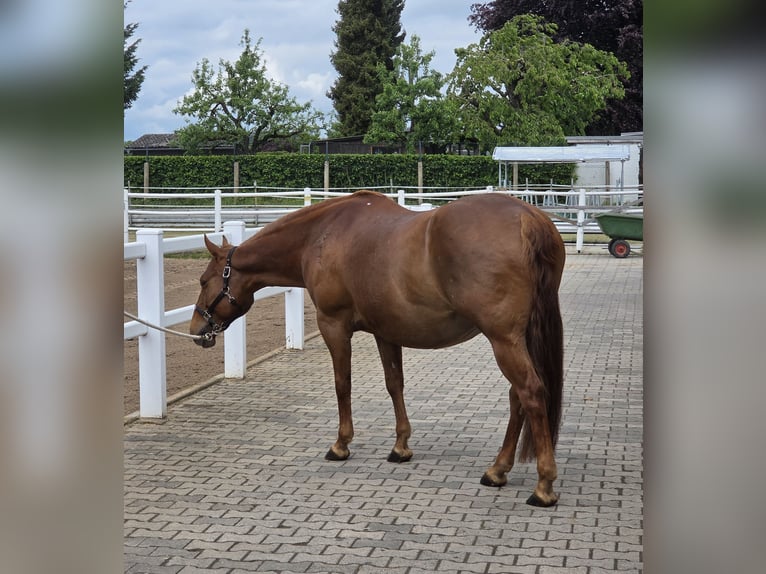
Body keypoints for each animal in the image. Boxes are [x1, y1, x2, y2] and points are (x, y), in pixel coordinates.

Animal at [190, 190, 565, 507]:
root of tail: (528, 218)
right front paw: (401, 447)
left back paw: (543, 487)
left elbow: (342, 384)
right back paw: (497, 470)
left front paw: (341, 444)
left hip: (503, 340)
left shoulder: (334, 326)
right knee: (518, 397)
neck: (322, 236)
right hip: (517, 339)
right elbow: (394, 384)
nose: (197, 330)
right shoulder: (386, 331)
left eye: (204, 280)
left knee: (530, 393)